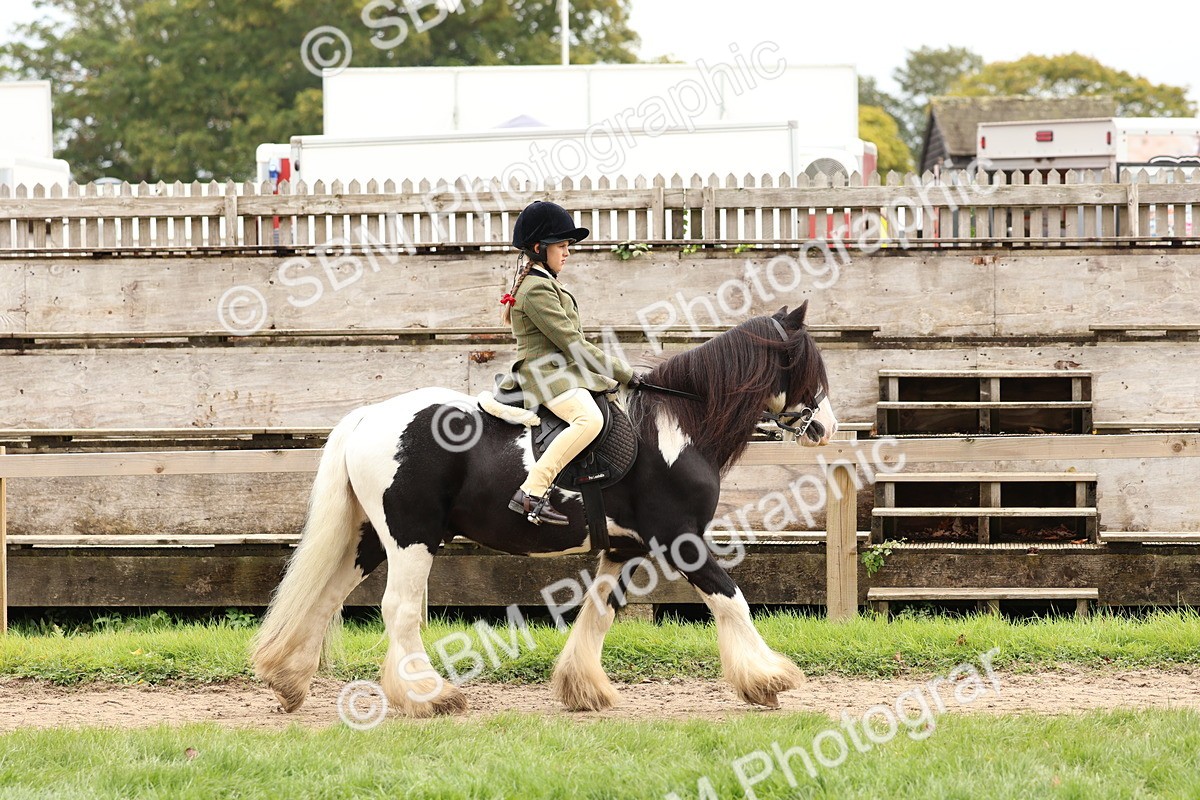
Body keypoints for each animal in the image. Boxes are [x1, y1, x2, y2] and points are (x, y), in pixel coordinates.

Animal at [251, 301, 839, 717]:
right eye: (807, 364)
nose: (826, 428)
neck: (676, 430)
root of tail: (370, 416)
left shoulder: (624, 549)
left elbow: (600, 613)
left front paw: (583, 689)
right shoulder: (680, 538)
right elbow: (731, 599)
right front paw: (768, 680)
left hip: (375, 537)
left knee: (328, 597)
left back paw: (289, 680)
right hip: (412, 537)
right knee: (398, 609)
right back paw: (429, 697)